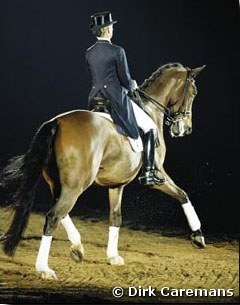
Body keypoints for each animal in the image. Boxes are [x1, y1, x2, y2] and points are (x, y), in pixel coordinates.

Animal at [0, 61, 206, 278]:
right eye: (194, 92)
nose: (185, 129)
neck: (149, 109)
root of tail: (56, 122)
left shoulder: (116, 184)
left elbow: (115, 217)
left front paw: (113, 256)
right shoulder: (158, 173)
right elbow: (182, 194)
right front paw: (198, 236)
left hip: (57, 182)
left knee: (60, 212)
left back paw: (77, 247)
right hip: (76, 185)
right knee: (53, 216)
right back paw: (44, 268)